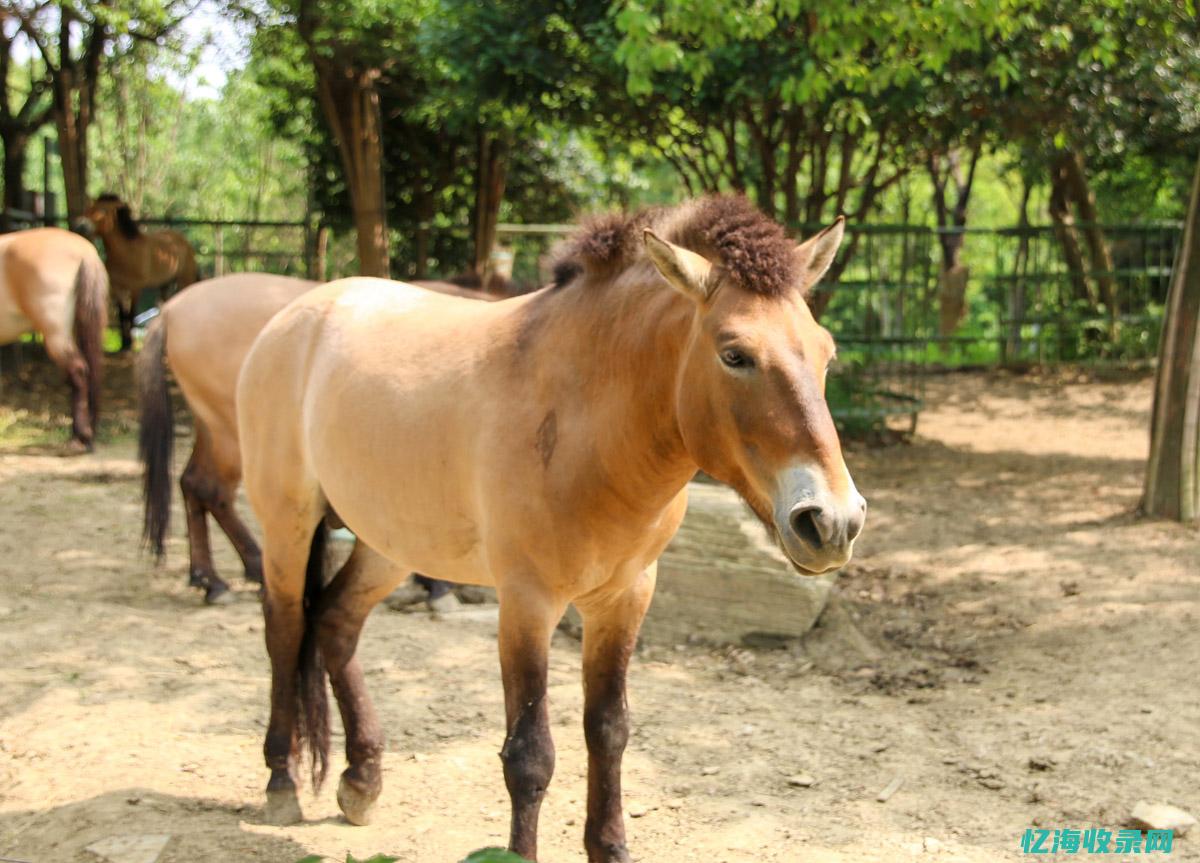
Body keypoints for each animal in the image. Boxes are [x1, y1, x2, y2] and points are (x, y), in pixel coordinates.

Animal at [75, 194, 199, 350]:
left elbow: (131, 315)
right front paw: (124, 344)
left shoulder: (135, 288)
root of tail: (180, 240)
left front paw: (130, 345)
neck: (127, 252)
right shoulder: (118, 288)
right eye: (89, 207)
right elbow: (122, 315)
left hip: (184, 279)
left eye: (102, 210)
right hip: (165, 284)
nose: (80, 225)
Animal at [139, 273, 511, 604]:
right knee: (211, 489)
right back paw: (244, 573)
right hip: (233, 435)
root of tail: (171, 309)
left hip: (213, 427)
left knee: (193, 483)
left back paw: (208, 577)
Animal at [234, 198, 868, 863]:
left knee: (335, 624)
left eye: (826, 353)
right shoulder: (527, 602)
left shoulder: (625, 597)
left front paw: (611, 847)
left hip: (388, 542)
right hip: (287, 524)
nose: (832, 521)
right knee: (285, 630)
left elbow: (609, 729)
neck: (579, 418)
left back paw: (361, 779)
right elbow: (529, 755)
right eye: (734, 354)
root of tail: (300, 312)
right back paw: (280, 781)